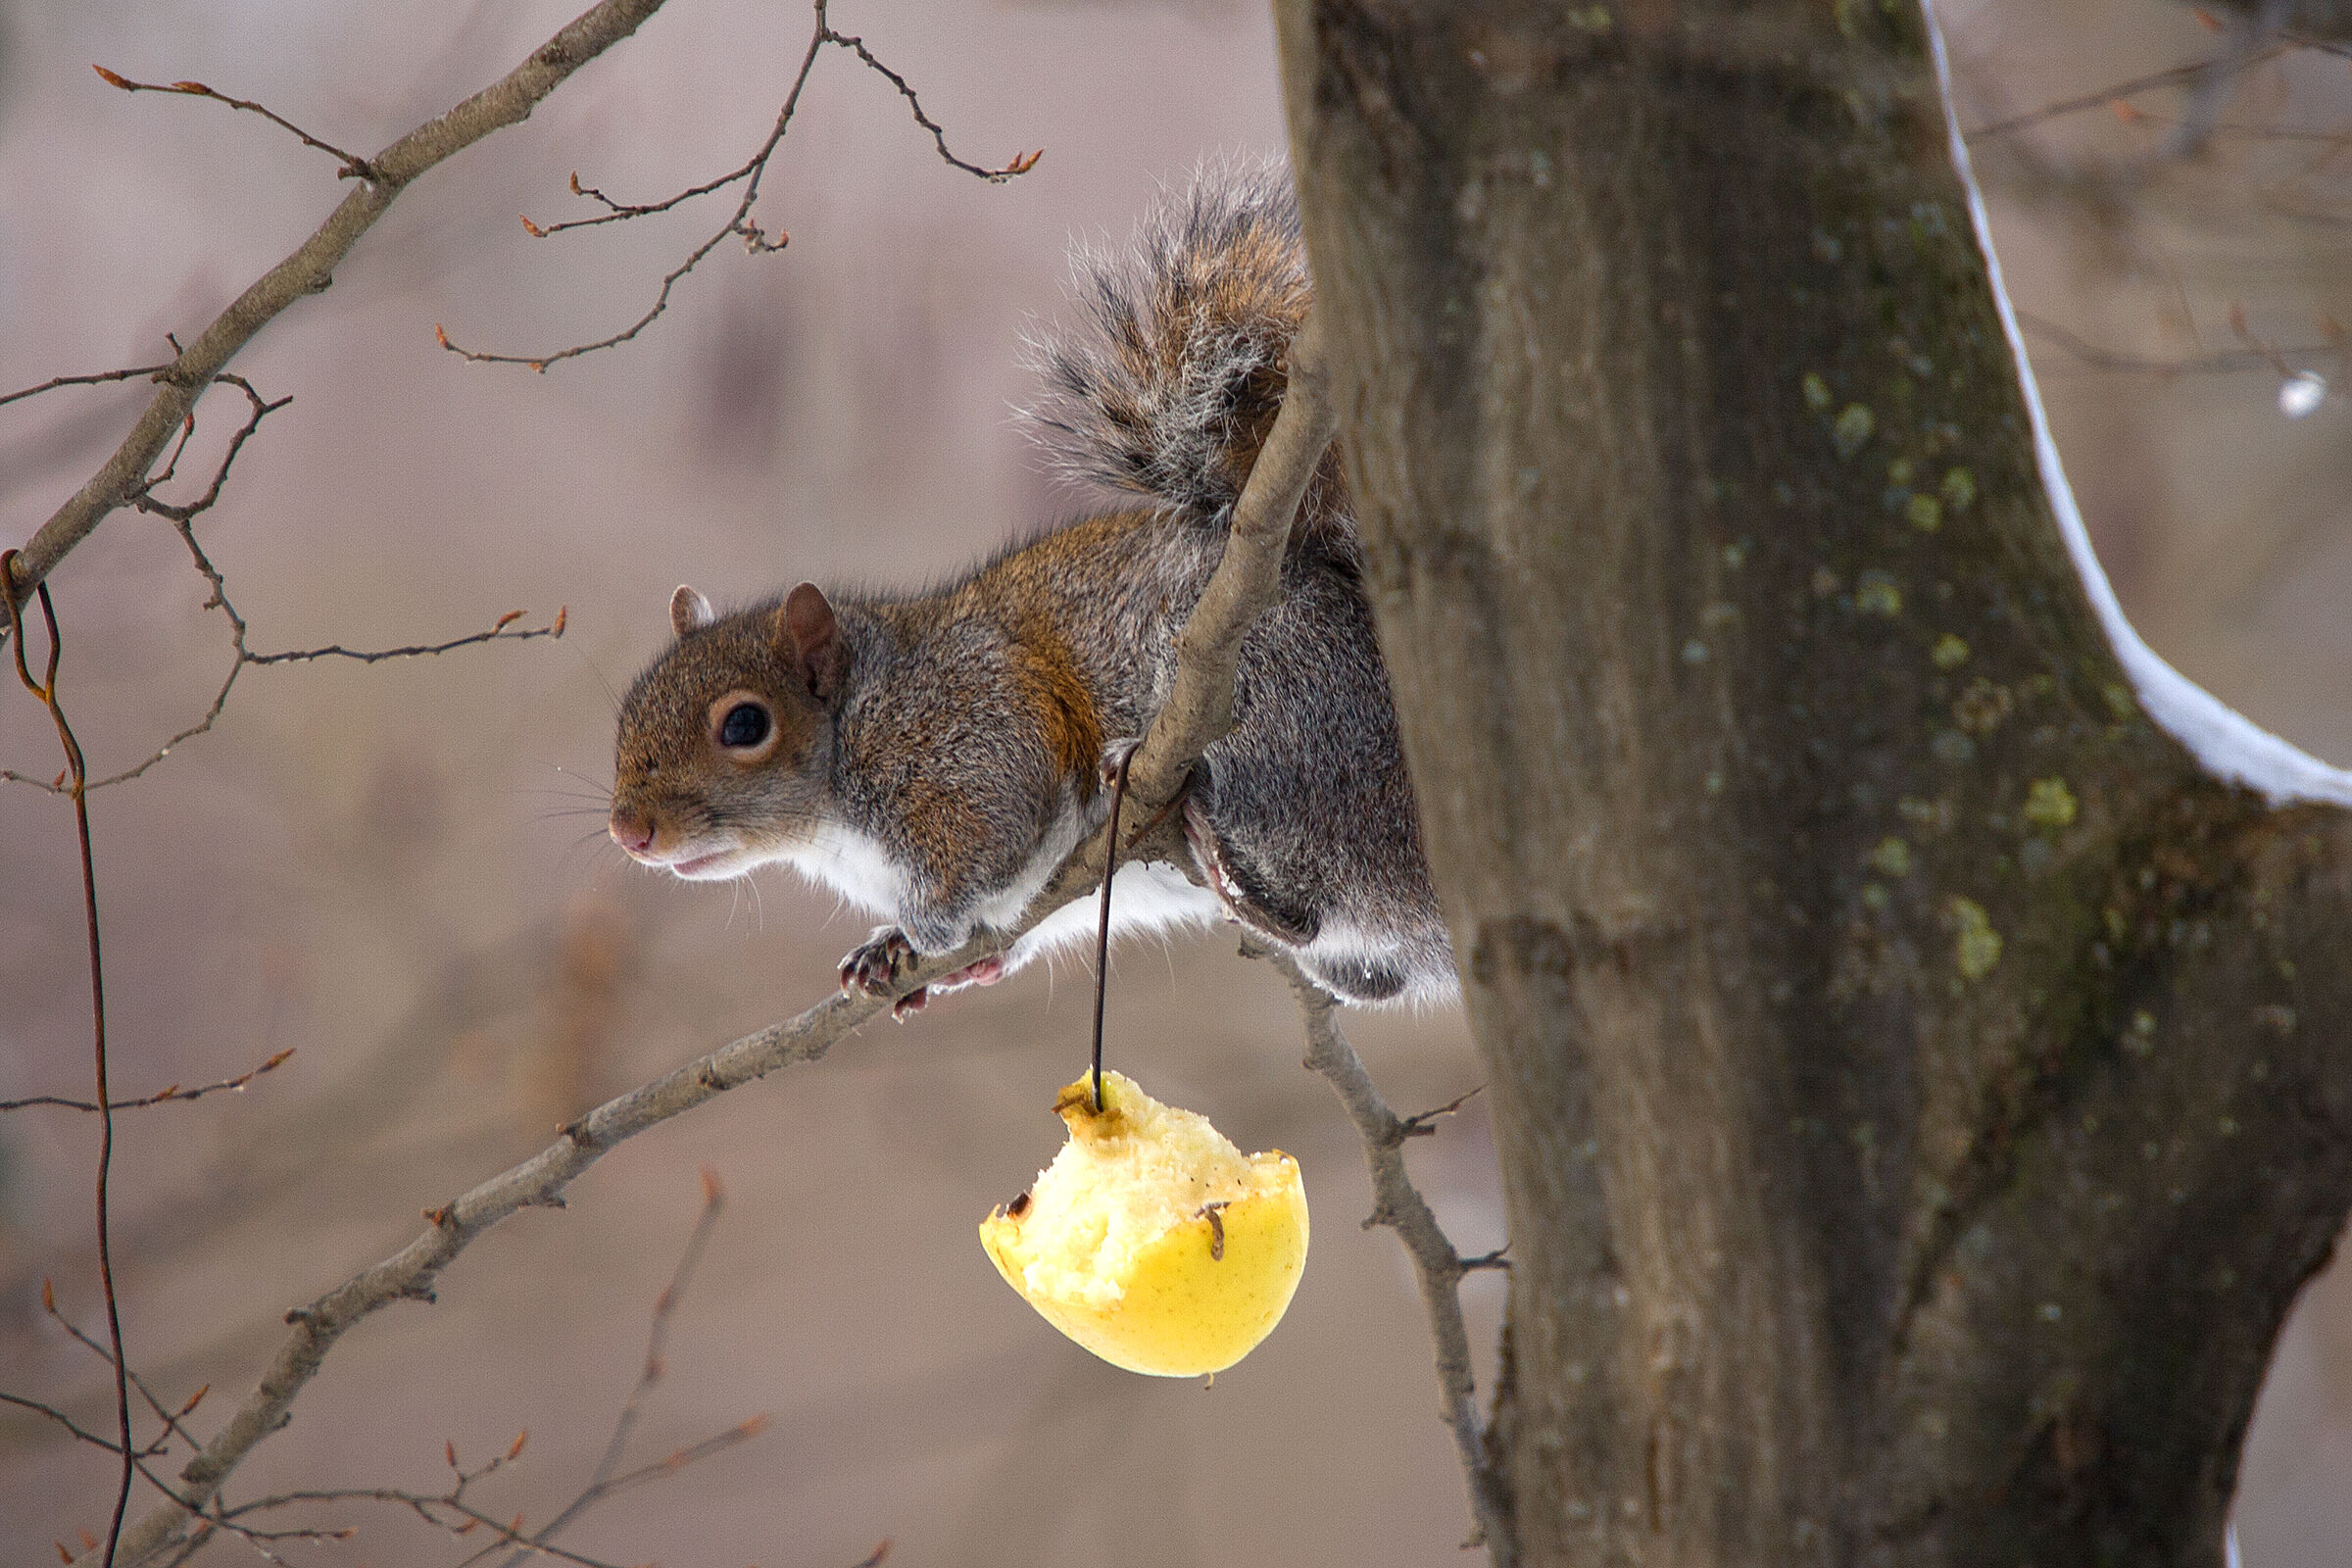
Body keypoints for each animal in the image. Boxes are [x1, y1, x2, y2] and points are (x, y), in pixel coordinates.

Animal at [606, 163, 1453, 1013]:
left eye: (745, 725)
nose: (628, 833)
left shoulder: (974, 743)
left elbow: (991, 838)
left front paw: (925, 932)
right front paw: (894, 951)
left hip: (1282, 716)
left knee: (1307, 893)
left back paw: (1217, 851)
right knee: (1367, 970)